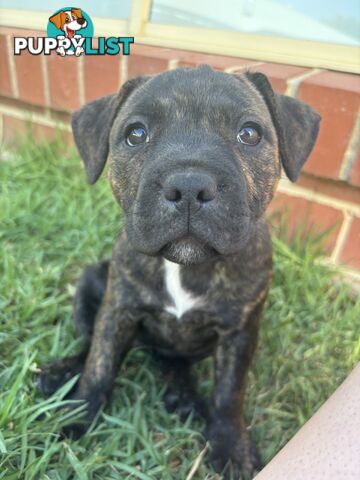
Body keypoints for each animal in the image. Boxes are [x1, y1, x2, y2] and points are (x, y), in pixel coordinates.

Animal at [37, 65, 320, 478]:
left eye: (249, 133)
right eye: (136, 134)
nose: (189, 185)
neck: (185, 266)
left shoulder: (239, 332)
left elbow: (229, 392)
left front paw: (231, 446)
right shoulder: (118, 308)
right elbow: (100, 364)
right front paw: (78, 415)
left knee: (174, 360)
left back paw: (184, 395)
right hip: (94, 281)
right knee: (92, 342)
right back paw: (61, 374)